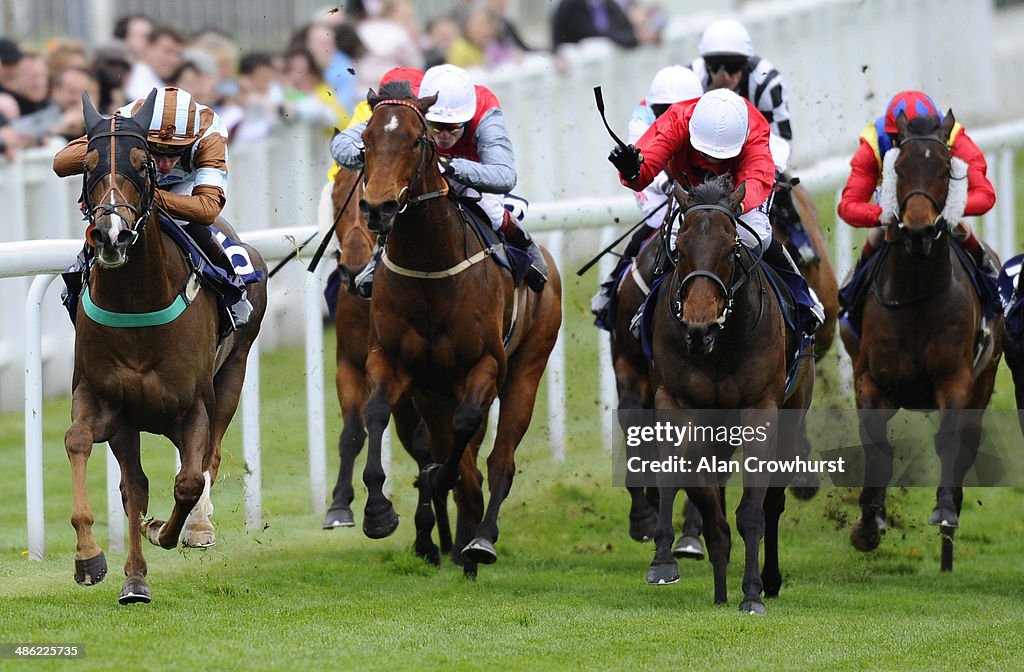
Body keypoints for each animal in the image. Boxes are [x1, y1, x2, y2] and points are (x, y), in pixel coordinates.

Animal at [64, 90, 268, 602]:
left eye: (142, 165)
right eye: (88, 164)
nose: (110, 234)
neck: (137, 301)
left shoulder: (194, 404)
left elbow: (190, 480)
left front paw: (170, 530)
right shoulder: (105, 401)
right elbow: (83, 445)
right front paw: (90, 557)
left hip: (233, 373)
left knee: (208, 459)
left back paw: (196, 528)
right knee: (134, 485)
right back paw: (135, 578)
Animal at [352, 81, 561, 577]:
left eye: (416, 140)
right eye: (365, 140)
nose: (377, 208)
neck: (431, 267)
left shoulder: (484, 365)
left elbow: (466, 436)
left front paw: (442, 488)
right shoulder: (394, 364)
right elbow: (376, 413)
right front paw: (378, 513)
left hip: (527, 367)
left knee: (500, 460)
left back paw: (480, 540)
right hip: (433, 394)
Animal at [643, 174, 811, 614]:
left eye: (731, 247)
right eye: (680, 247)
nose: (698, 328)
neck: (719, 346)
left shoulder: (761, 409)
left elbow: (752, 509)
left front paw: (751, 593)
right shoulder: (674, 400)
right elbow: (677, 478)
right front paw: (663, 562)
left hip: (792, 416)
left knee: (772, 503)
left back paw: (768, 579)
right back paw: (720, 586)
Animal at [839, 110, 999, 573]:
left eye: (946, 170)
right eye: (898, 168)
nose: (917, 232)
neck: (916, 292)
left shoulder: (956, 380)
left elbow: (949, 441)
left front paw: (944, 509)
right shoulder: (872, 383)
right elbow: (878, 448)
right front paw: (868, 522)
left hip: (984, 384)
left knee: (966, 443)